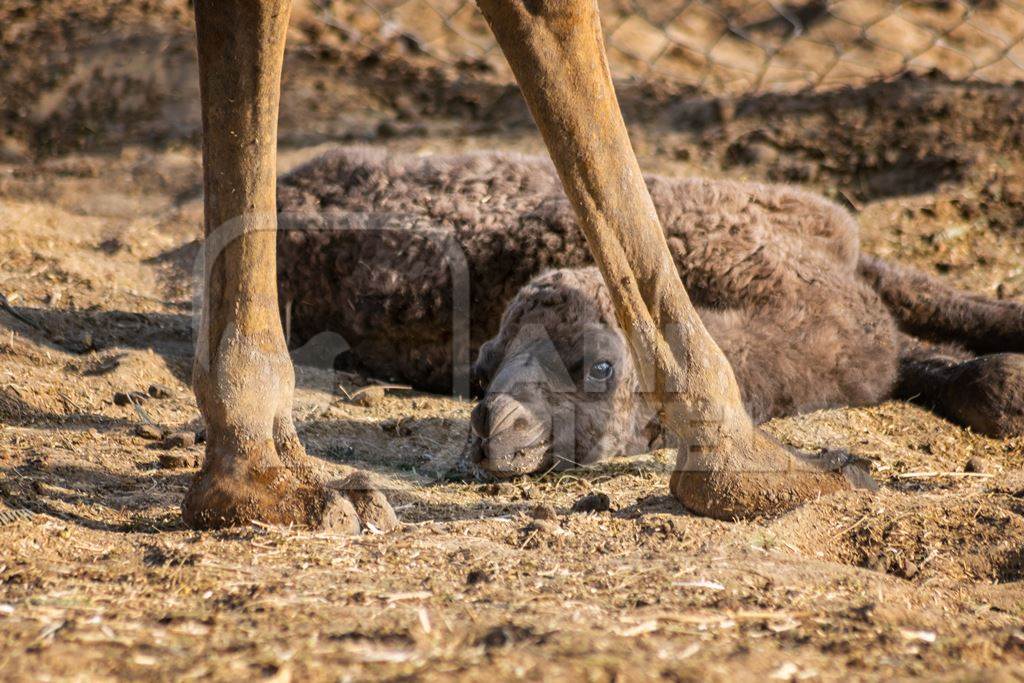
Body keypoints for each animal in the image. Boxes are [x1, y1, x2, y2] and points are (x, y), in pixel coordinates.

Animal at [276, 147, 1024, 479]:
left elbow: (929, 313)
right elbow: (930, 362)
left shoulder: (819, 248)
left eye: (601, 367)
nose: (493, 427)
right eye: (479, 373)